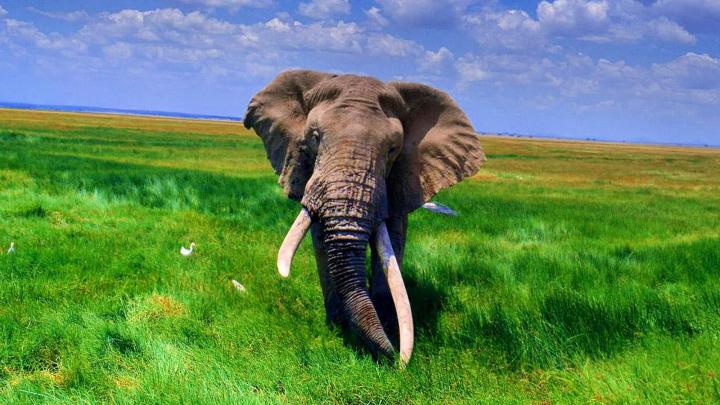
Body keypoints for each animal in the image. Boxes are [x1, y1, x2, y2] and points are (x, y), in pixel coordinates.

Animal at [244, 70, 485, 365]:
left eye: (393, 149)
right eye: (315, 137)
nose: (396, 360)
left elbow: (393, 239)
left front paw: (388, 325)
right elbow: (321, 242)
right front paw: (338, 328)